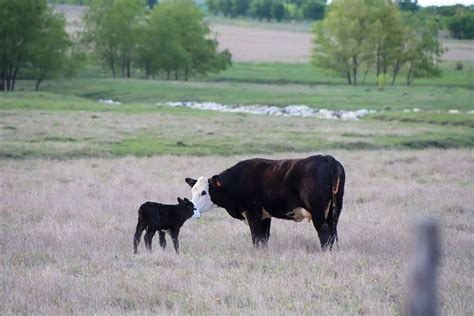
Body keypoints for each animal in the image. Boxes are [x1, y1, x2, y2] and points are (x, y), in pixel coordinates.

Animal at [185, 155, 344, 249]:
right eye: (193, 190)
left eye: (204, 192)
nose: (192, 208)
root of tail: (327, 159)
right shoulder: (264, 215)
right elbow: (264, 238)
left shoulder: (252, 211)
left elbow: (256, 236)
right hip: (334, 211)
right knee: (333, 232)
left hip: (318, 212)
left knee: (324, 232)